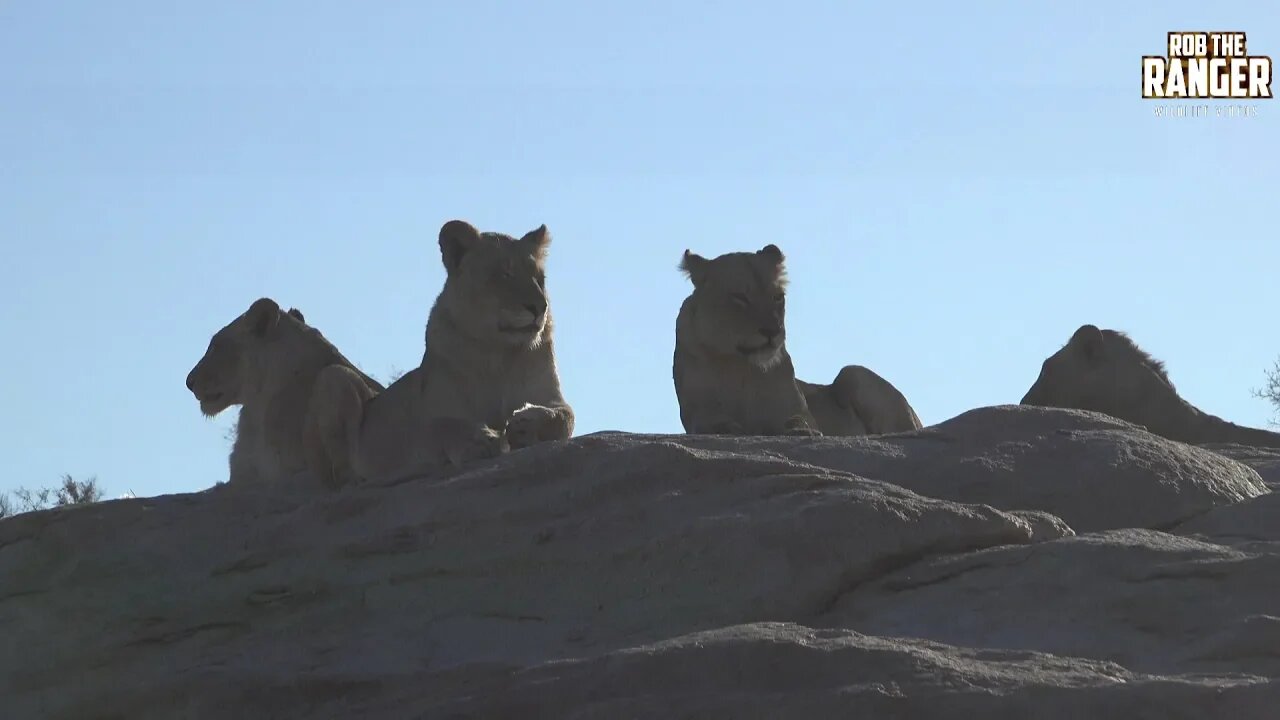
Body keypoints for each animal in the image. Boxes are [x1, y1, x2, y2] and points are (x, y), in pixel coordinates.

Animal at [307, 219, 573, 484]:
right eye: (505, 274)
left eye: (540, 279)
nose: (540, 307)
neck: (497, 352)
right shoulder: (424, 421)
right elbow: (440, 425)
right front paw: (478, 439)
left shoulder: (549, 396)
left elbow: (564, 416)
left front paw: (528, 424)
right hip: (334, 376)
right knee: (343, 476)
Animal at [670, 243, 921, 435]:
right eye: (740, 298)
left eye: (777, 297)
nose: (772, 331)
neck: (742, 367)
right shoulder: (696, 412)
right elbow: (711, 420)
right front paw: (726, 426)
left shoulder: (798, 410)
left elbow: (799, 421)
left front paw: (799, 430)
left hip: (852, 372)